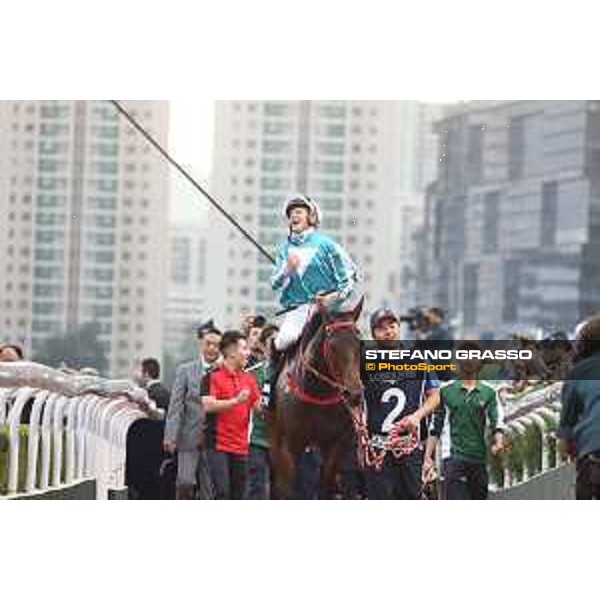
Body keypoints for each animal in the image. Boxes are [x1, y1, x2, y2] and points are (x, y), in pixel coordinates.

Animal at [268, 298, 364, 500]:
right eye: (332, 346)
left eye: (360, 344)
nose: (353, 394)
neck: (317, 393)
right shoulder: (288, 447)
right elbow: (285, 491)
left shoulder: (336, 445)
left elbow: (326, 486)